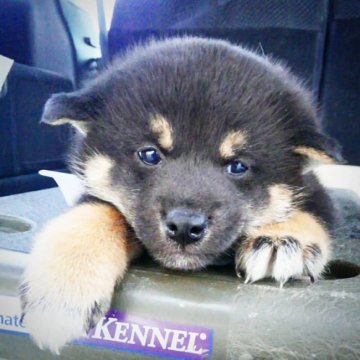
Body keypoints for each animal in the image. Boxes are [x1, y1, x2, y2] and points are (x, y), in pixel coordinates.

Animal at [20, 38, 340, 352]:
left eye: (238, 166)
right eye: (149, 154)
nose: (185, 227)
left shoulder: (314, 188)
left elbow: (311, 212)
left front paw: (282, 240)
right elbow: (97, 209)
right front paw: (63, 282)